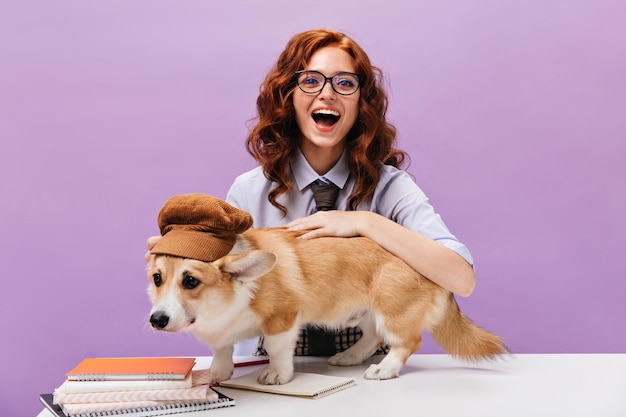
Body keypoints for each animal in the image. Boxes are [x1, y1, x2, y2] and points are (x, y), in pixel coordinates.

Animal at [147, 226, 508, 386]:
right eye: (157, 278)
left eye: (191, 281)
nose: (157, 320)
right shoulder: (221, 334)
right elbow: (223, 350)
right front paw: (218, 373)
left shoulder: (283, 319)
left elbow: (277, 350)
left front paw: (277, 374)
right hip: (363, 313)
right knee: (371, 337)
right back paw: (348, 356)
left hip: (391, 310)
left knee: (405, 342)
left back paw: (384, 369)